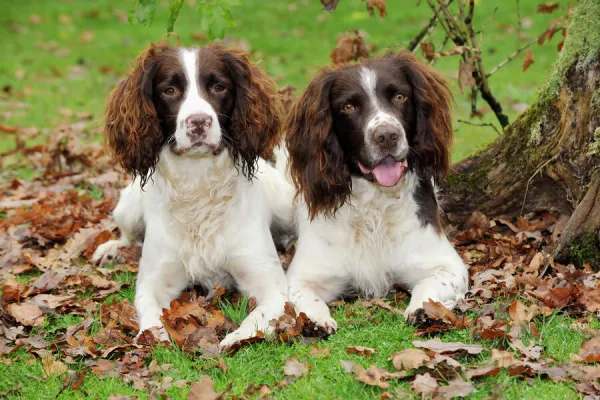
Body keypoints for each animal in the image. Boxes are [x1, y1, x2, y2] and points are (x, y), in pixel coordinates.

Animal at [92, 43, 292, 350]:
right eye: (169, 90)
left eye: (219, 87)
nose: (199, 122)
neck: (198, 183)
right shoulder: (153, 282)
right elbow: (151, 316)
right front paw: (155, 337)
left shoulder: (270, 283)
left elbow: (258, 318)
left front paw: (235, 338)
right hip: (128, 208)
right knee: (127, 235)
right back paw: (111, 249)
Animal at [282, 50, 468, 332]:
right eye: (348, 107)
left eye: (400, 96)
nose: (387, 136)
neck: (375, 202)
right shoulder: (303, 274)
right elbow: (304, 297)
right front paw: (314, 320)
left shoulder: (447, 265)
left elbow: (429, 285)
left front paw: (424, 310)